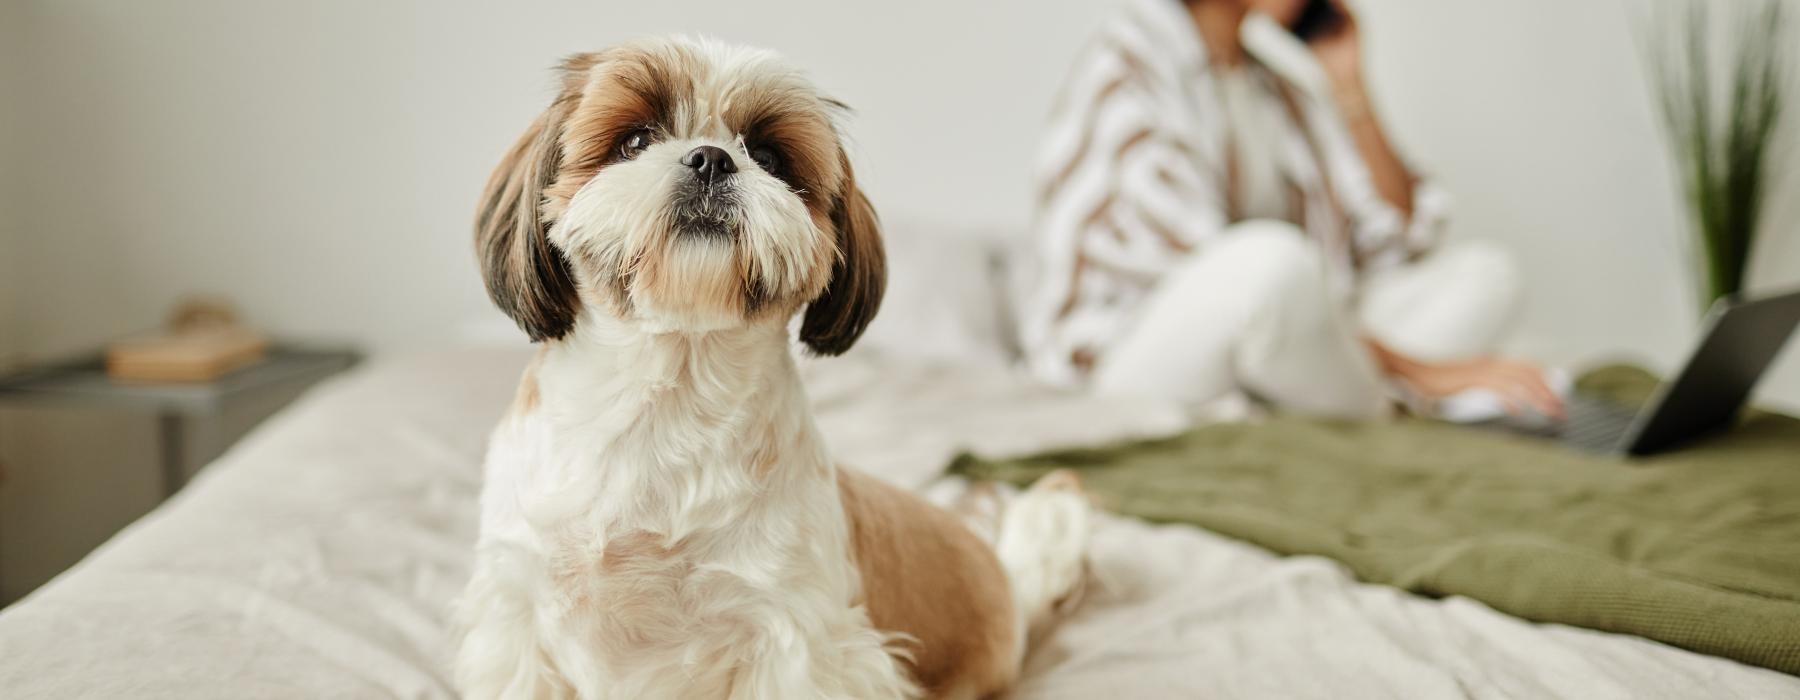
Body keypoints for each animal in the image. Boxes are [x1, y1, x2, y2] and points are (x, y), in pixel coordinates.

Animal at [457, 38, 1087, 698]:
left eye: (767, 155)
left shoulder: (793, 643)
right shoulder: (517, 617)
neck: (668, 396)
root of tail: (1011, 592)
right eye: (634, 140)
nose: (710, 159)